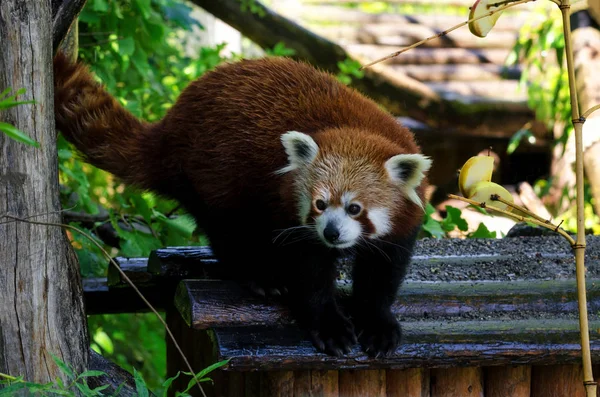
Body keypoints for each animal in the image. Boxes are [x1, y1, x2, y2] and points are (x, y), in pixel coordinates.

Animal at [54, 51, 432, 358]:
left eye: (355, 208)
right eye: (320, 204)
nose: (332, 233)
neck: (355, 129)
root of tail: (171, 123)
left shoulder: (401, 226)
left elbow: (383, 273)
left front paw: (378, 325)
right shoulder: (288, 213)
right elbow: (308, 272)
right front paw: (331, 328)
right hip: (211, 176)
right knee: (229, 232)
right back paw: (259, 275)